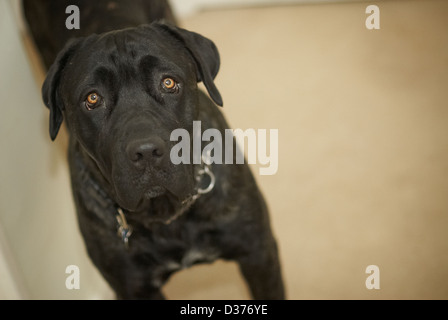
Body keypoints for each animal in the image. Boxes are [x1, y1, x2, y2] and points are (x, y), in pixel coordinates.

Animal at [22, 0, 286, 300]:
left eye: (168, 83)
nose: (146, 152)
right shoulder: (134, 287)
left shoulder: (259, 253)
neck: (164, 214)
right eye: (93, 98)